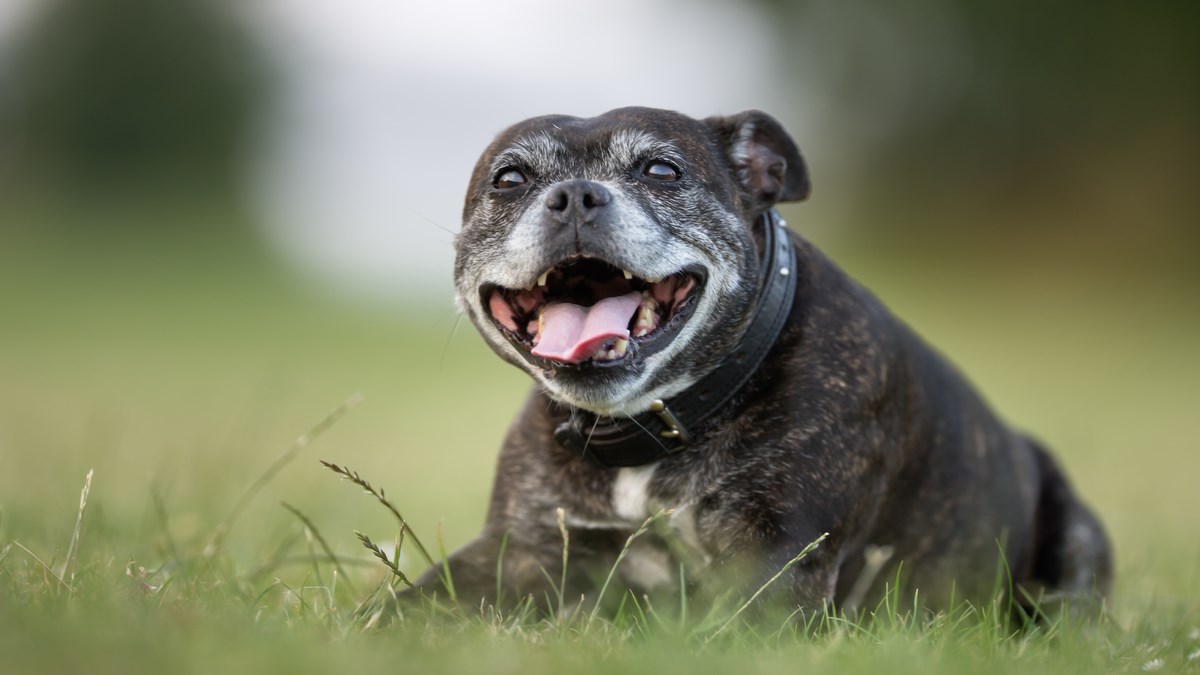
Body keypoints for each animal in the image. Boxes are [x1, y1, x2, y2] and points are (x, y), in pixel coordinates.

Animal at [415, 106, 1113, 614]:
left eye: (662, 171)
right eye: (510, 180)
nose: (575, 195)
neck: (657, 424)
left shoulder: (778, 564)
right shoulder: (518, 551)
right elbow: (406, 610)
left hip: (1074, 547)